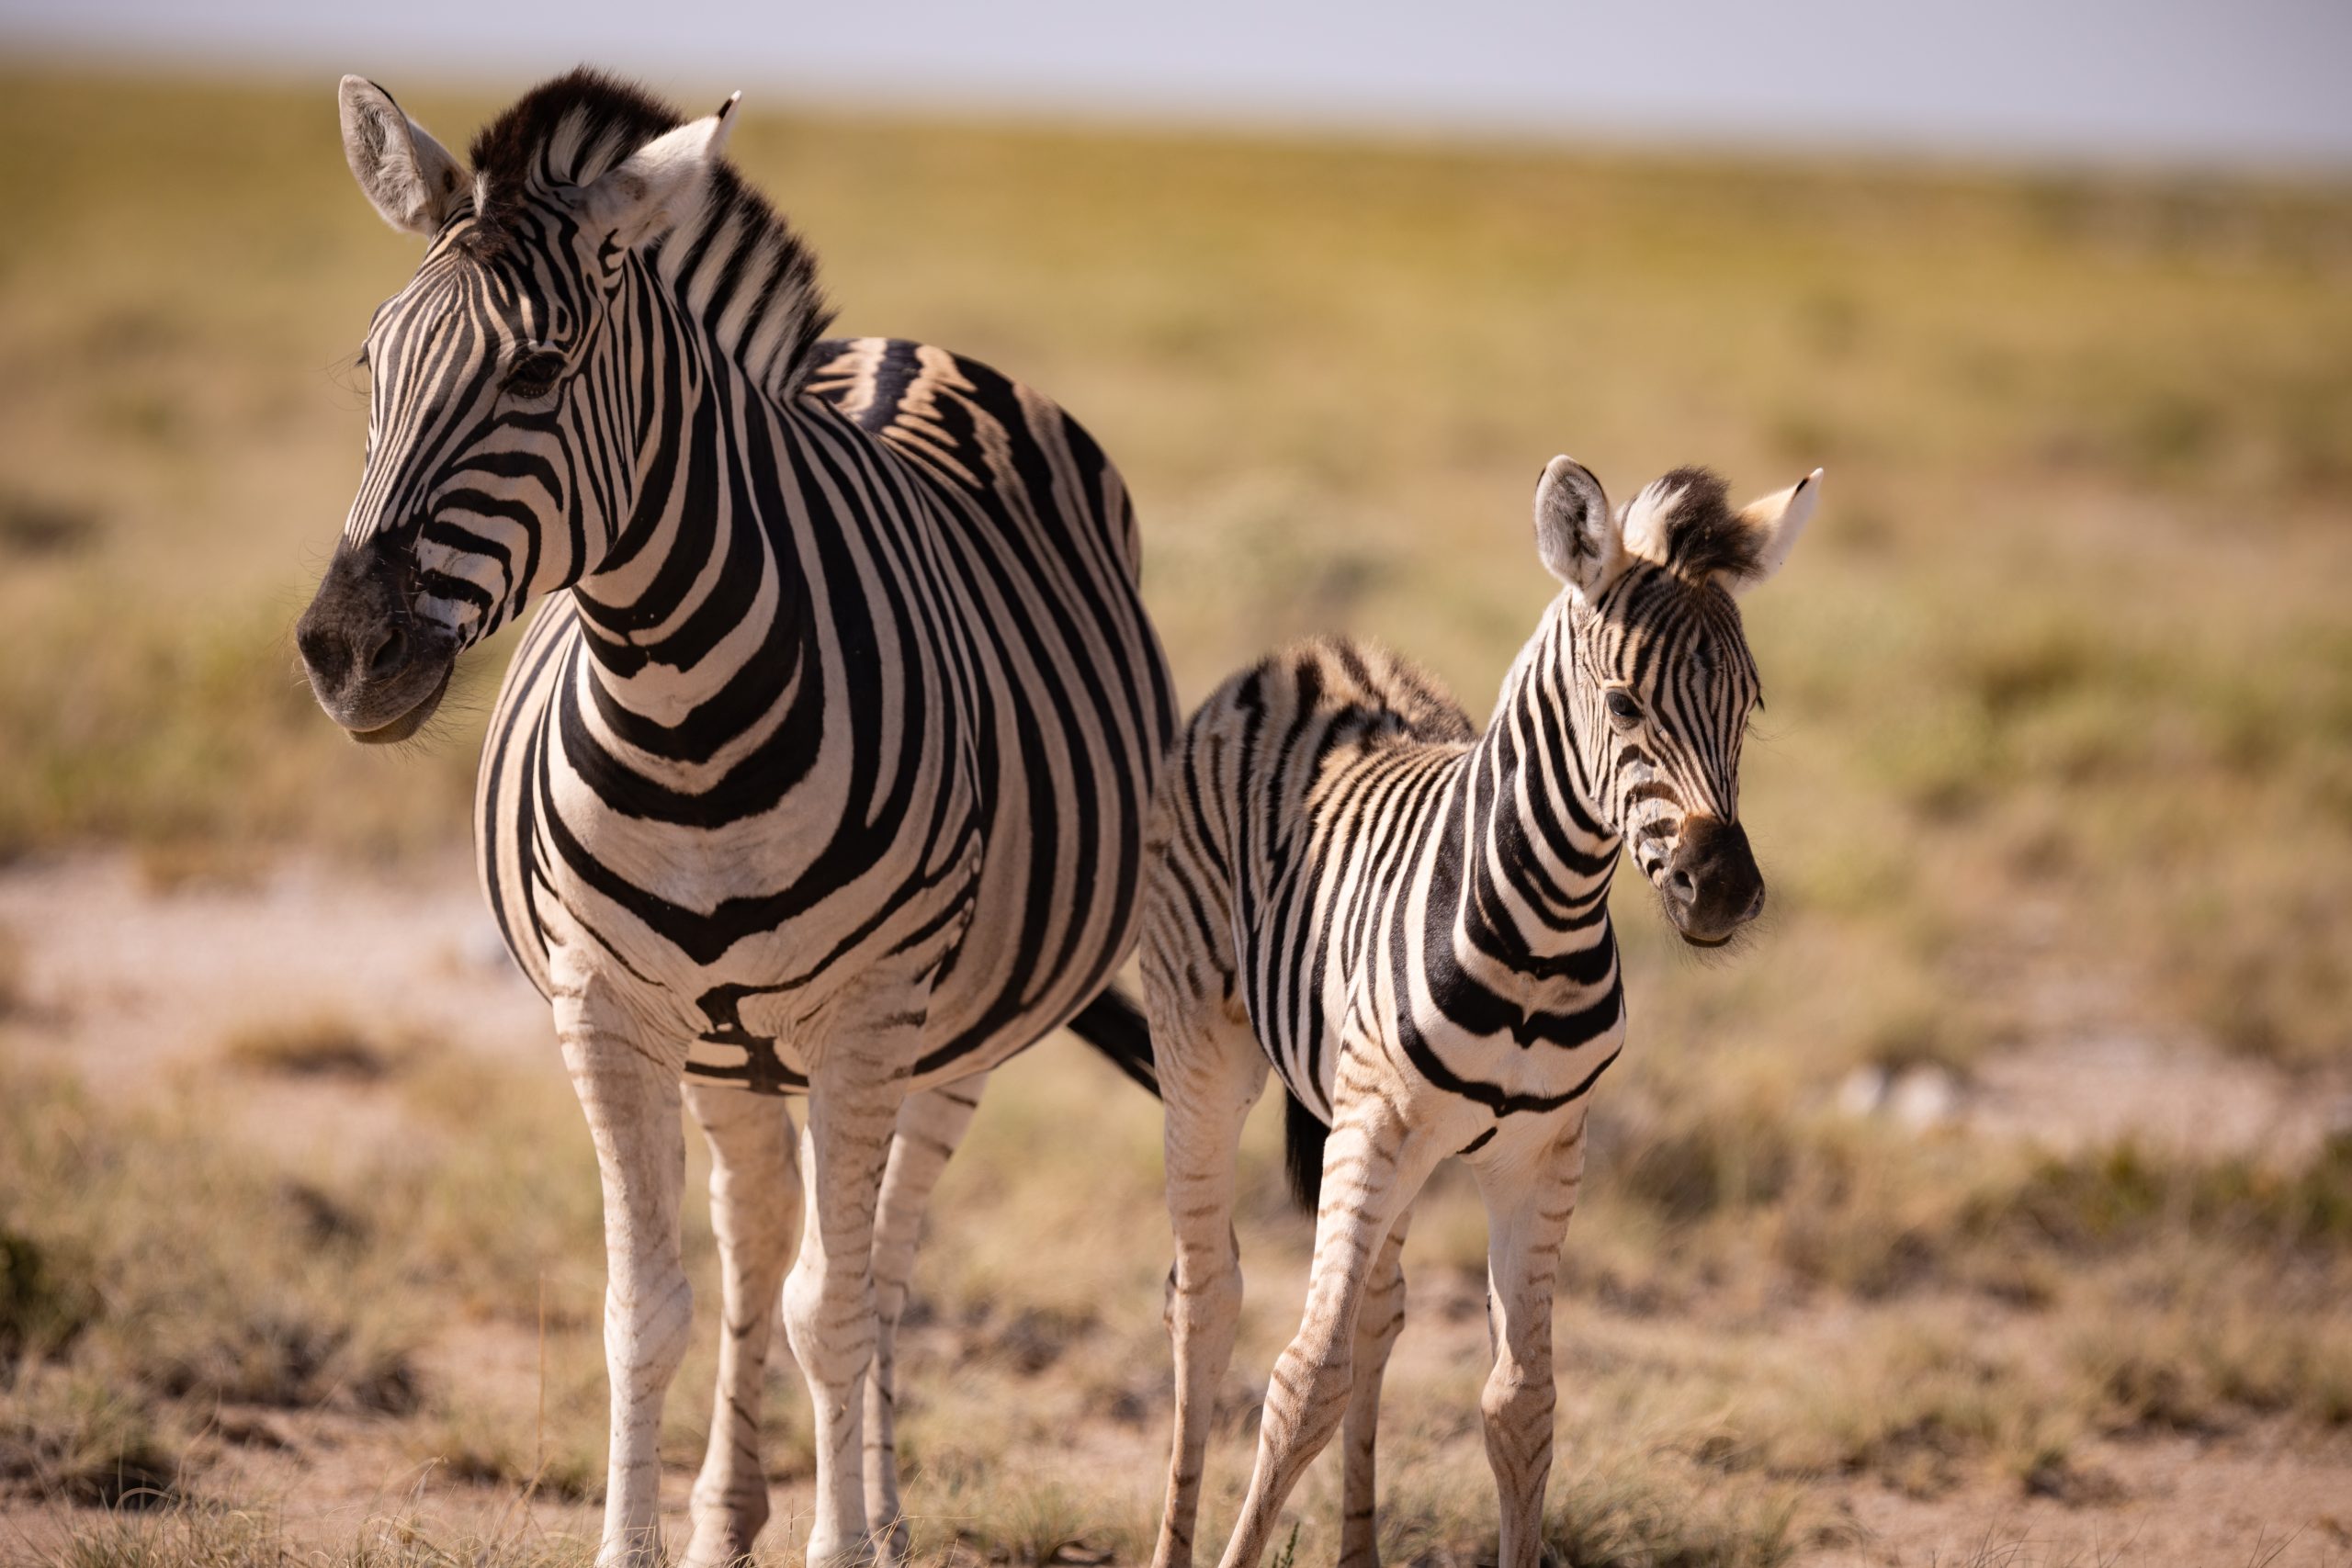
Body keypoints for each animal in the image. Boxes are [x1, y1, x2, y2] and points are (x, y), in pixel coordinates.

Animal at [293, 70, 1174, 1568]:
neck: (682, 711)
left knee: (881, 1264)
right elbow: (646, 1308)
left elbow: (838, 1305)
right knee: (762, 1231)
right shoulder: (607, 1010)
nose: (345, 652)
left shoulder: (874, 1016)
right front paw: (647, 1539)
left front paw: (844, 1542)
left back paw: (879, 1509)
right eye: (369, 367)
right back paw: (730, 1507)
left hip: (952, 1037)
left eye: (538, 371)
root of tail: (894, 349)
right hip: (733, 1049)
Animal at [1136, 456, 1817, 1568]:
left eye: (1750, 702)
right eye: (1623, 704)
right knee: (1206, 1299)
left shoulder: (1541, 1153)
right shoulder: (1374, 1122)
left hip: (1390, 1137)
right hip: (1207, 1049)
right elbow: (1303, 1380)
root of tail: (1315, 653)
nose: (1723, 892)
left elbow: (1520, 1402)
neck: (1542, 937)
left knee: (1378, 1312)